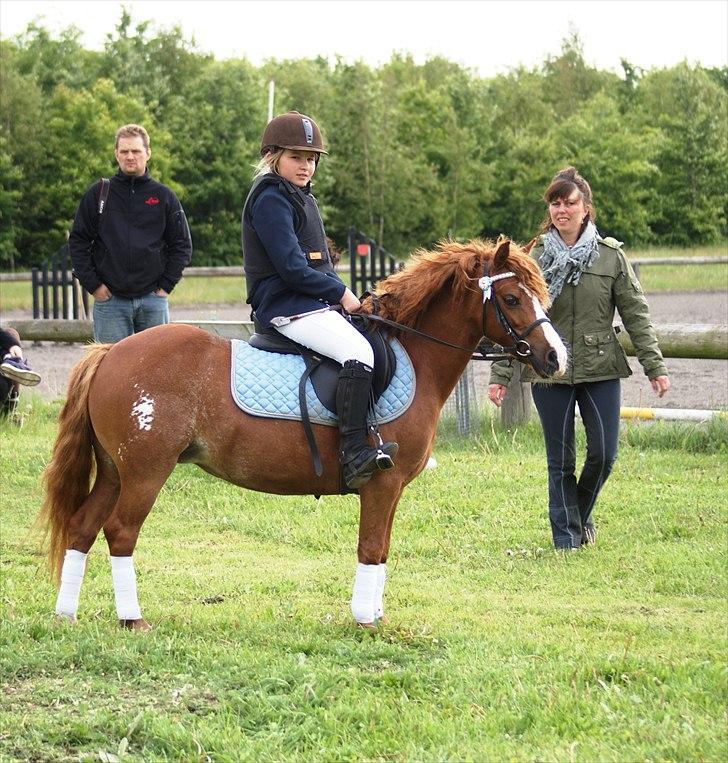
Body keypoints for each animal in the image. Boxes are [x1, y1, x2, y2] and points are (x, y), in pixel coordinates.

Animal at [38, 237, 568, 628]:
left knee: (83, 527)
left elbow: (382, 549)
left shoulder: (394, 488)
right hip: (146, 473)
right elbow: (371, 547)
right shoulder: (382, 483)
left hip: (115, 471)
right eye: (511, 298)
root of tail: (111, 351)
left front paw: (375, 613)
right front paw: (365, 621)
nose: (555, 358)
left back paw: (66, 616)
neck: (413, 354)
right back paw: (132, 619)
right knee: (120, 531)